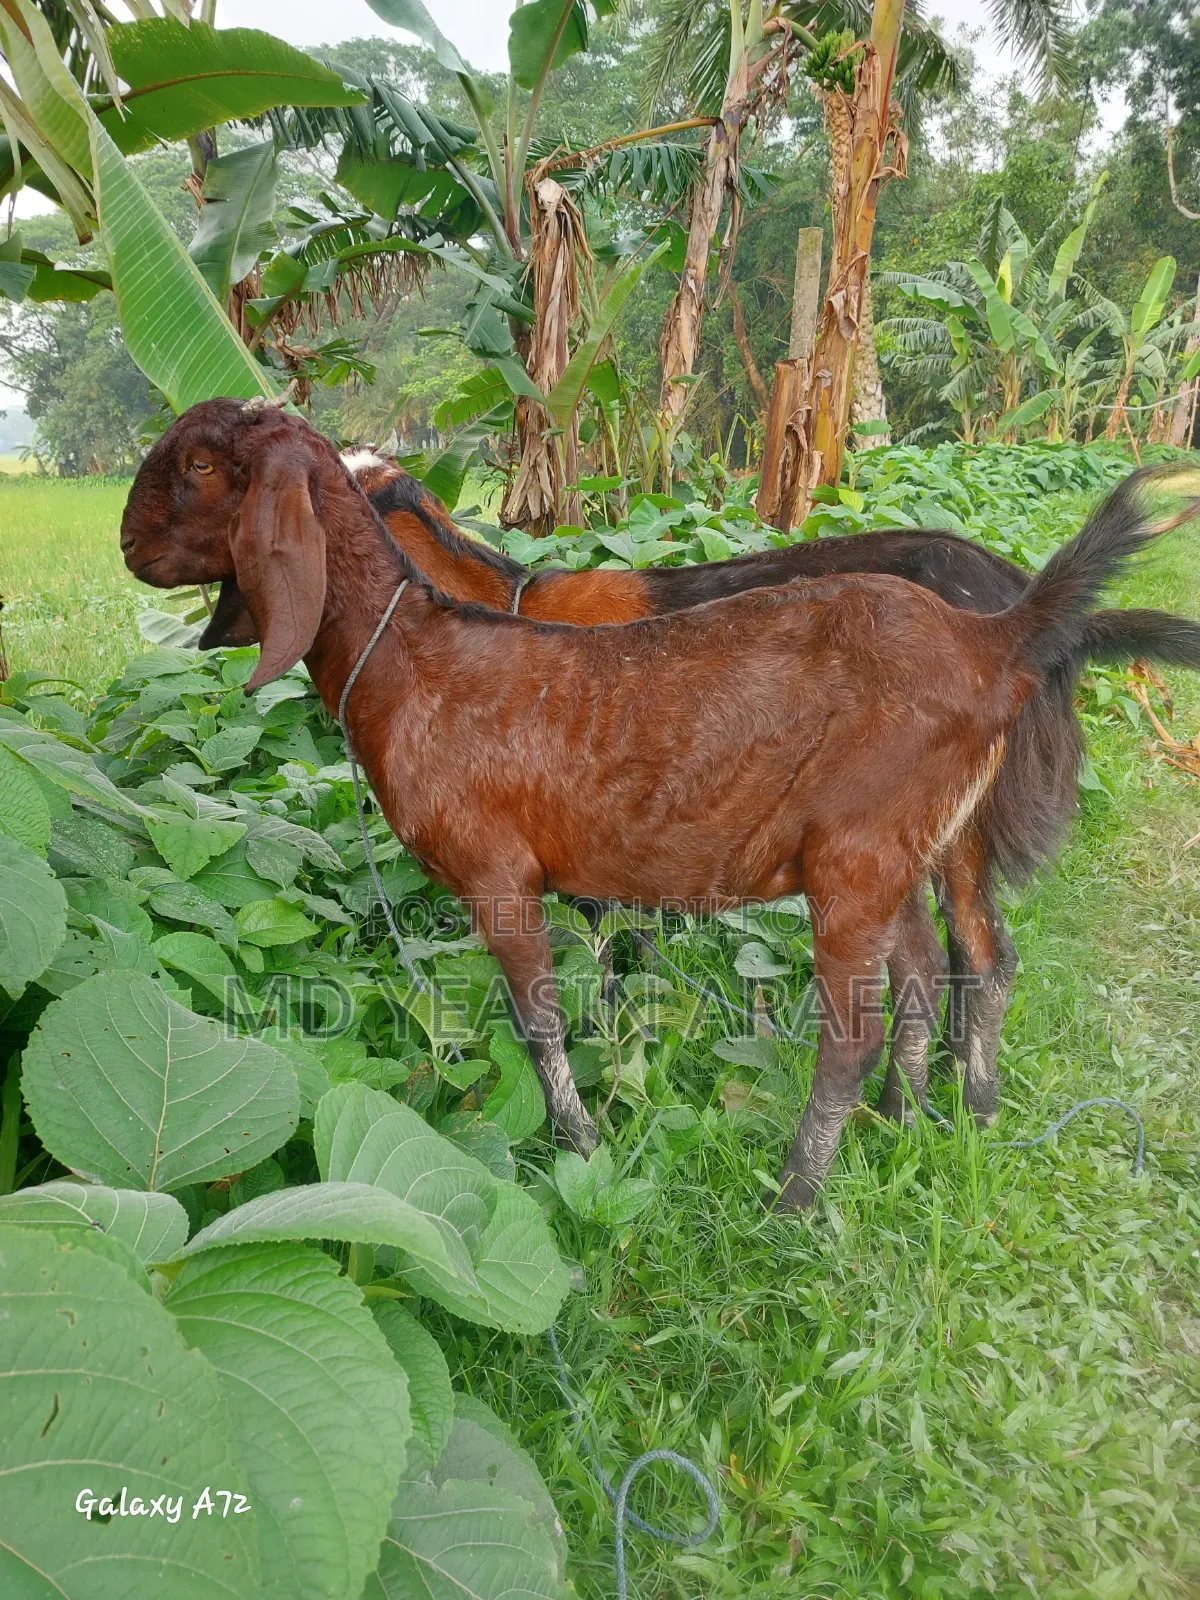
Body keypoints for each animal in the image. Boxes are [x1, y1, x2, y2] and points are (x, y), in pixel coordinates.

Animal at [119, 401, 1197, 1209]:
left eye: (203, 465)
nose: (127, 545)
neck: (421, 650)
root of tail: (997, 639)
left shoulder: (499, 873)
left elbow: (542, 1022)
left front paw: (580, 1146)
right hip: (902, 848)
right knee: (943, 966)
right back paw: (915, 1121)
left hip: (862, 857)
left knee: (866, 1020)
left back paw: (797, 1202)